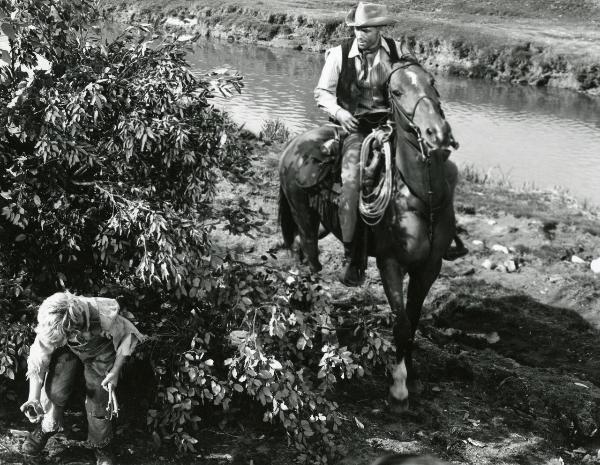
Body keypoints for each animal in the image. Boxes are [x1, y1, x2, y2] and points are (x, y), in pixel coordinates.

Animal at [278, 59, 460, 410]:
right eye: (397, 91)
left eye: (433, 83)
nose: (437, 133)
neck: (420, 195)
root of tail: (294, 146)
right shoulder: (390, 263)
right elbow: (401, 323)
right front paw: (399, 386)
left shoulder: (429, 268)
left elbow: (414, 321)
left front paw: (412, 375)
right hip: (304, 220)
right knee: (312, 267)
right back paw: (325, 333)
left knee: (299, 261)